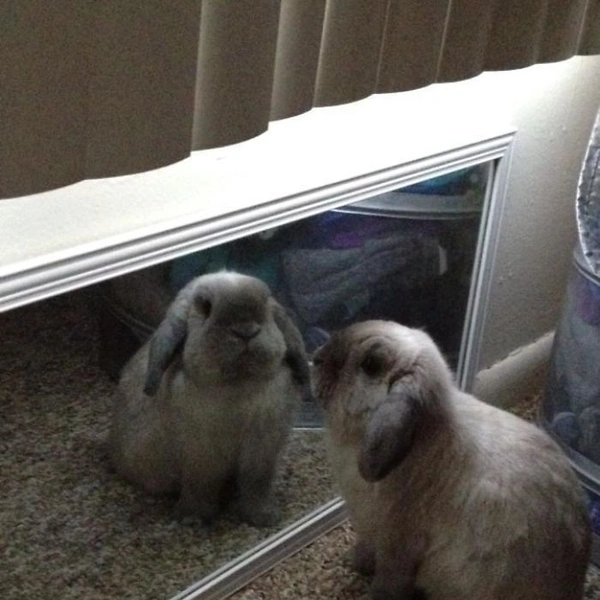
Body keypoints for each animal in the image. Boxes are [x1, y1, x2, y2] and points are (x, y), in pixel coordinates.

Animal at [108, 271, 309, 527]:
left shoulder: (262, 453)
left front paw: (264, 518)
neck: (238, 383)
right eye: (206, 307)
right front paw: (193, 518)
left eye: (265, 301)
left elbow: (256, 486)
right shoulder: (202, 456)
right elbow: (200, 486)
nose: (245, 331)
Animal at [312, 320, 591, 600]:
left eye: (370, 364)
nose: (316, 358)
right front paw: (355, 561)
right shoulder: (370, 533)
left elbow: (389, 582)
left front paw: (372, 591)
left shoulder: (398, 545)